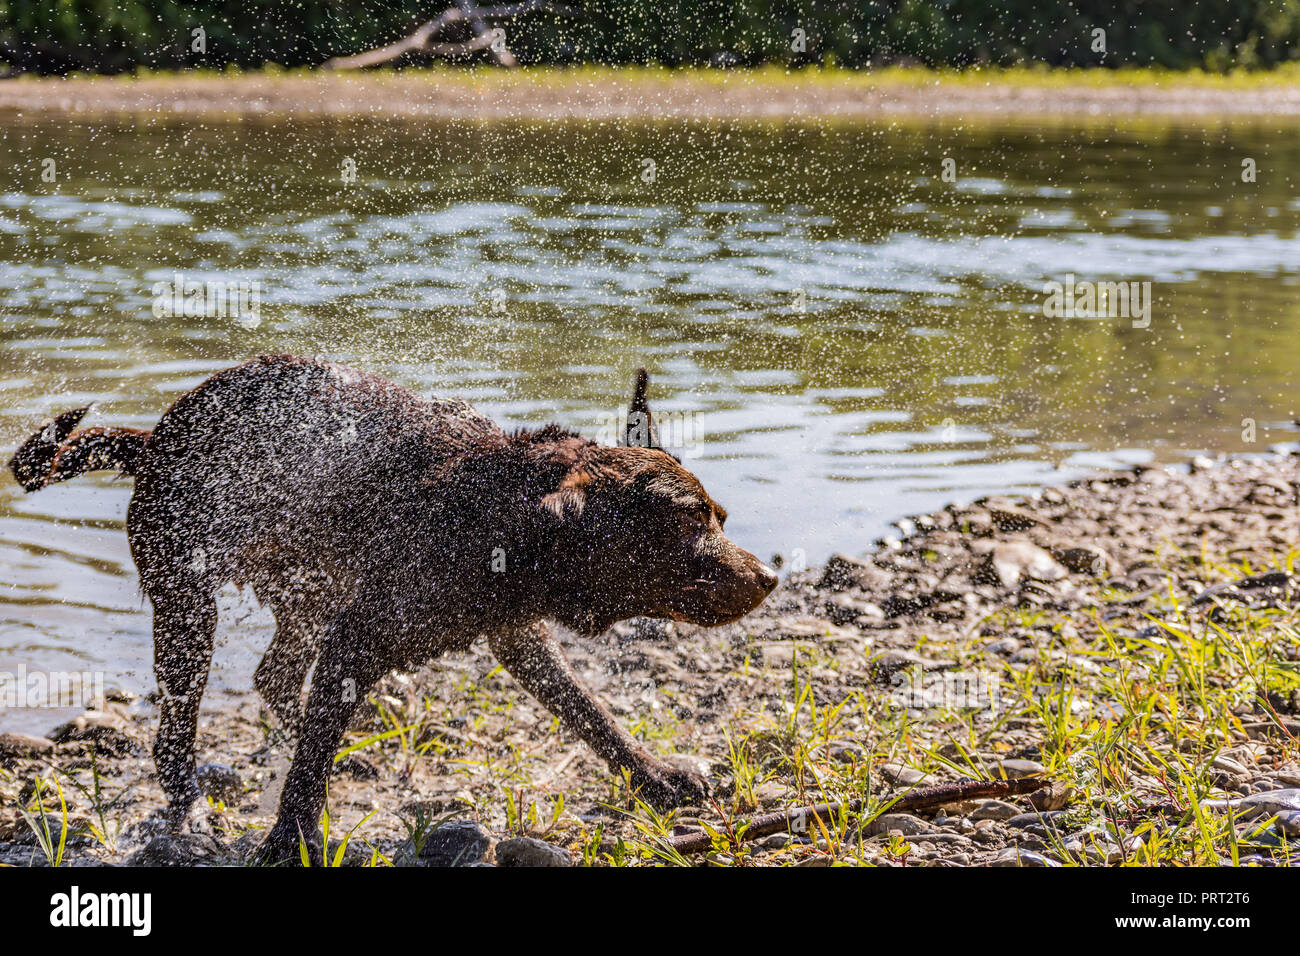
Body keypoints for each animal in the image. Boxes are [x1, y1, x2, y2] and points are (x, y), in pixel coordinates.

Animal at [10, 356, 774, 863]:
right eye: (692, 527)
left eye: (719, 516)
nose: (769, 577)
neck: (505, 519)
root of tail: (154, 441)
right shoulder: (362, 635)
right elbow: (305, 776)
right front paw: (288, 840)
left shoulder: (513, 633)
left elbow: (589, 710)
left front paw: (656, 776)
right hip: (188, 605)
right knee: (179, 732)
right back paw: (192, 805)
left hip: (307, 587)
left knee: (275, 675)